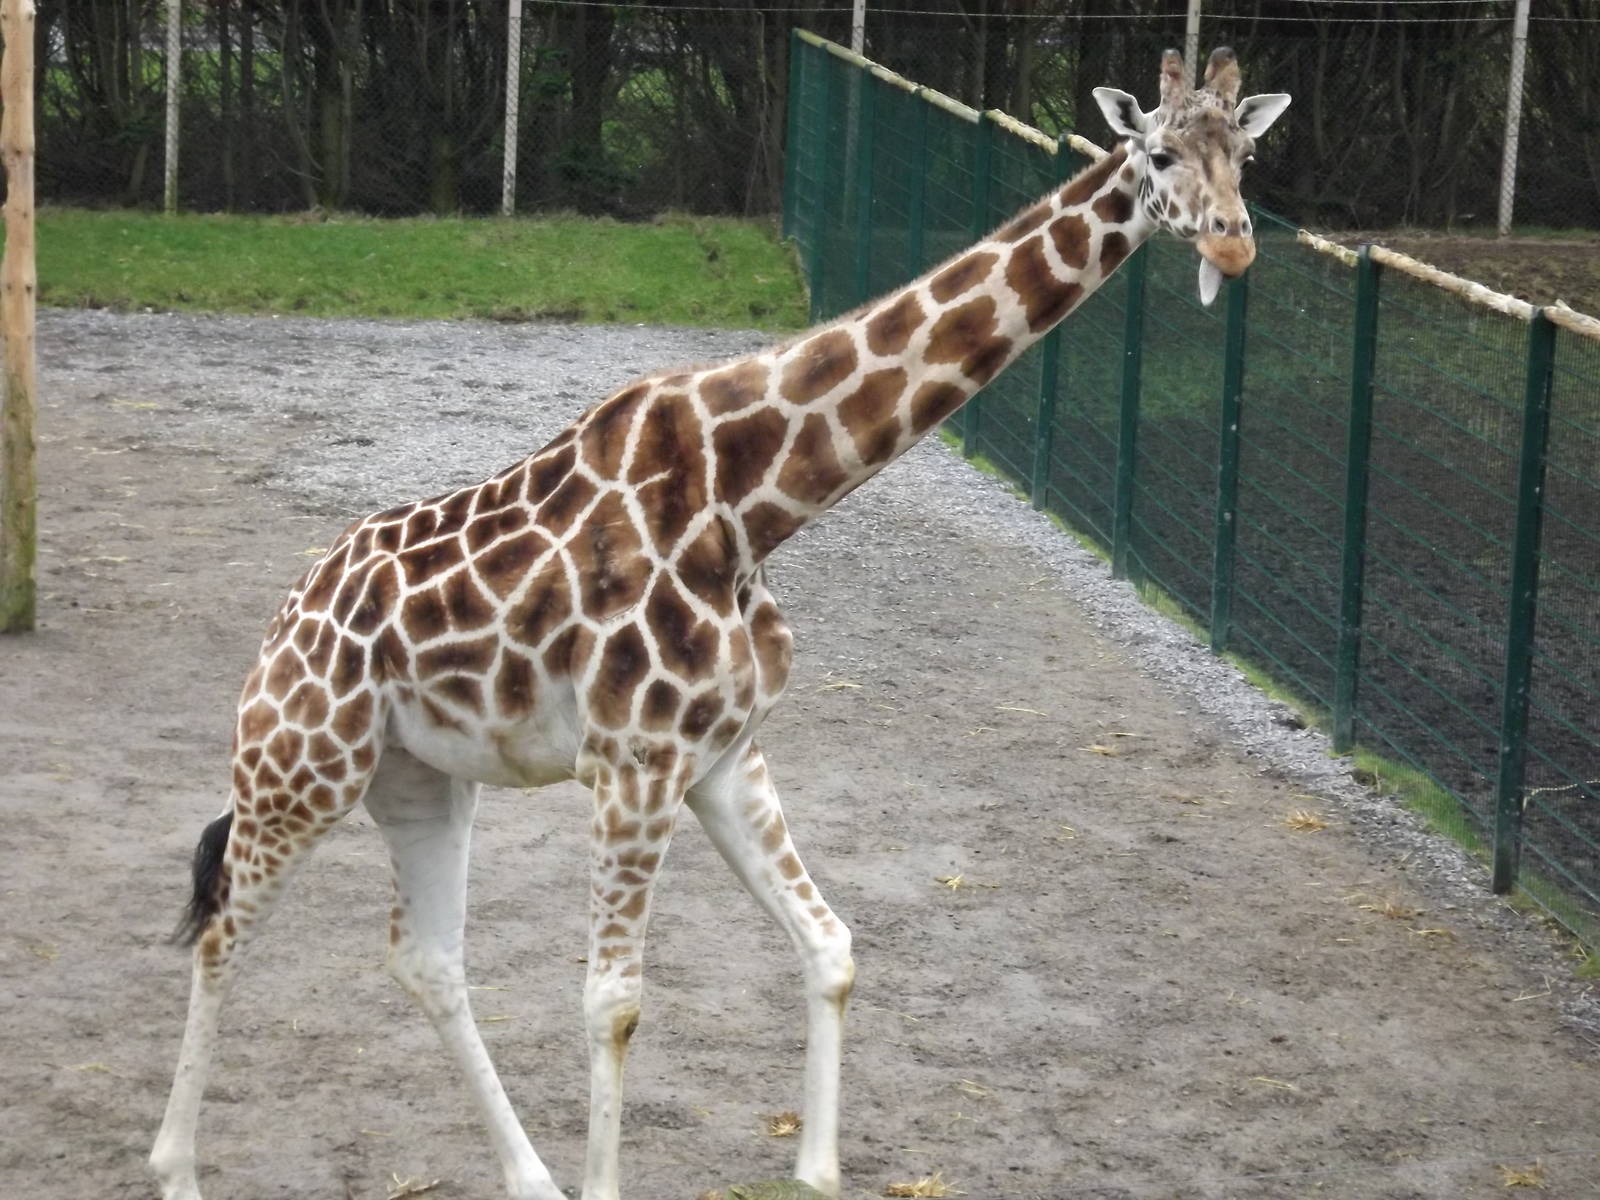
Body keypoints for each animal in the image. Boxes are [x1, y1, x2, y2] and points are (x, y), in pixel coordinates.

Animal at [150, 47, 1288, 1200]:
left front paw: (817, 1170)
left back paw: (529, 1177)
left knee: (424, 959)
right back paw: (178, 1170)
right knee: (220, 933)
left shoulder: (724, 753)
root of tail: (286, 618)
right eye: (1158, 155)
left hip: (420, 781)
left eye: (1244, 156)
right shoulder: (634, 765)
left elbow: (831, 946)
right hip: (302, 769)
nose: (1234, 243)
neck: (751, 505)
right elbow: (612, 1006)